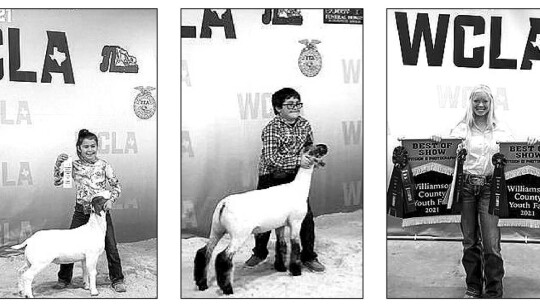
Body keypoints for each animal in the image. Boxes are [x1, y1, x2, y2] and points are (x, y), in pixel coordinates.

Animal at [194, 144, 330, 296]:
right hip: (239, 234)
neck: (298, 188)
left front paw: (281, 268)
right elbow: (295, 246)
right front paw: (295, 271)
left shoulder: (280, 225)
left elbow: (281, 245)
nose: (325, 147)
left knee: (204, 252)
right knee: (223, 257)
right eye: (315, 150)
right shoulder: (296, 222)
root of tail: (224, 204)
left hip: (216, 229)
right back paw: (227, 289)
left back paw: (202, 284)